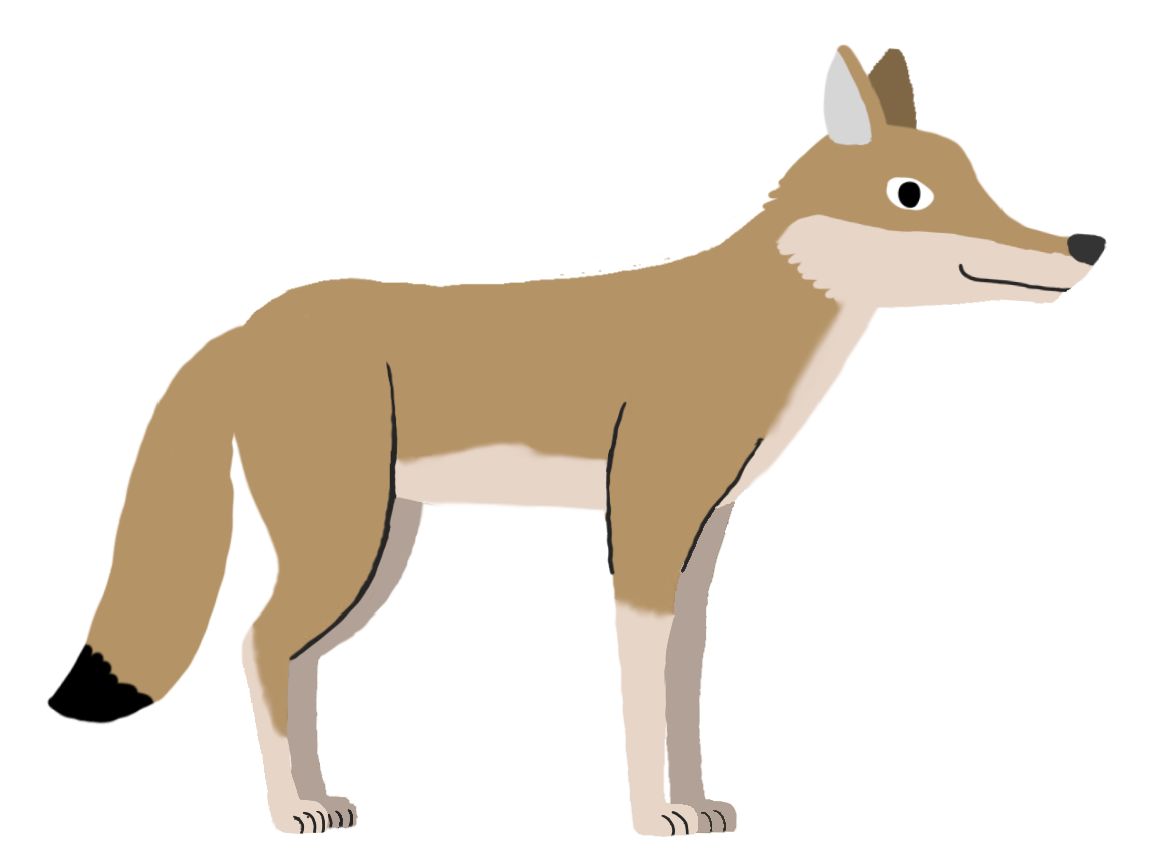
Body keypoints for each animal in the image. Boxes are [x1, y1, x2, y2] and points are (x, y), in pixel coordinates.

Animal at [84, 43, 1105, 836]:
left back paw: (322, 797)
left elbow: (685, 685)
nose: (1084, 245)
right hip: (347, 546)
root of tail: (248, 323)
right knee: (255, 643)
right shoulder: (644, 523)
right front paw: (652, 818)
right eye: (910, 194)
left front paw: (699, 807)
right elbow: (639, 691)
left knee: (290, 659)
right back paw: (291, 811)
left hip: (381, 551)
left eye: (980, 182)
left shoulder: (702, 537)